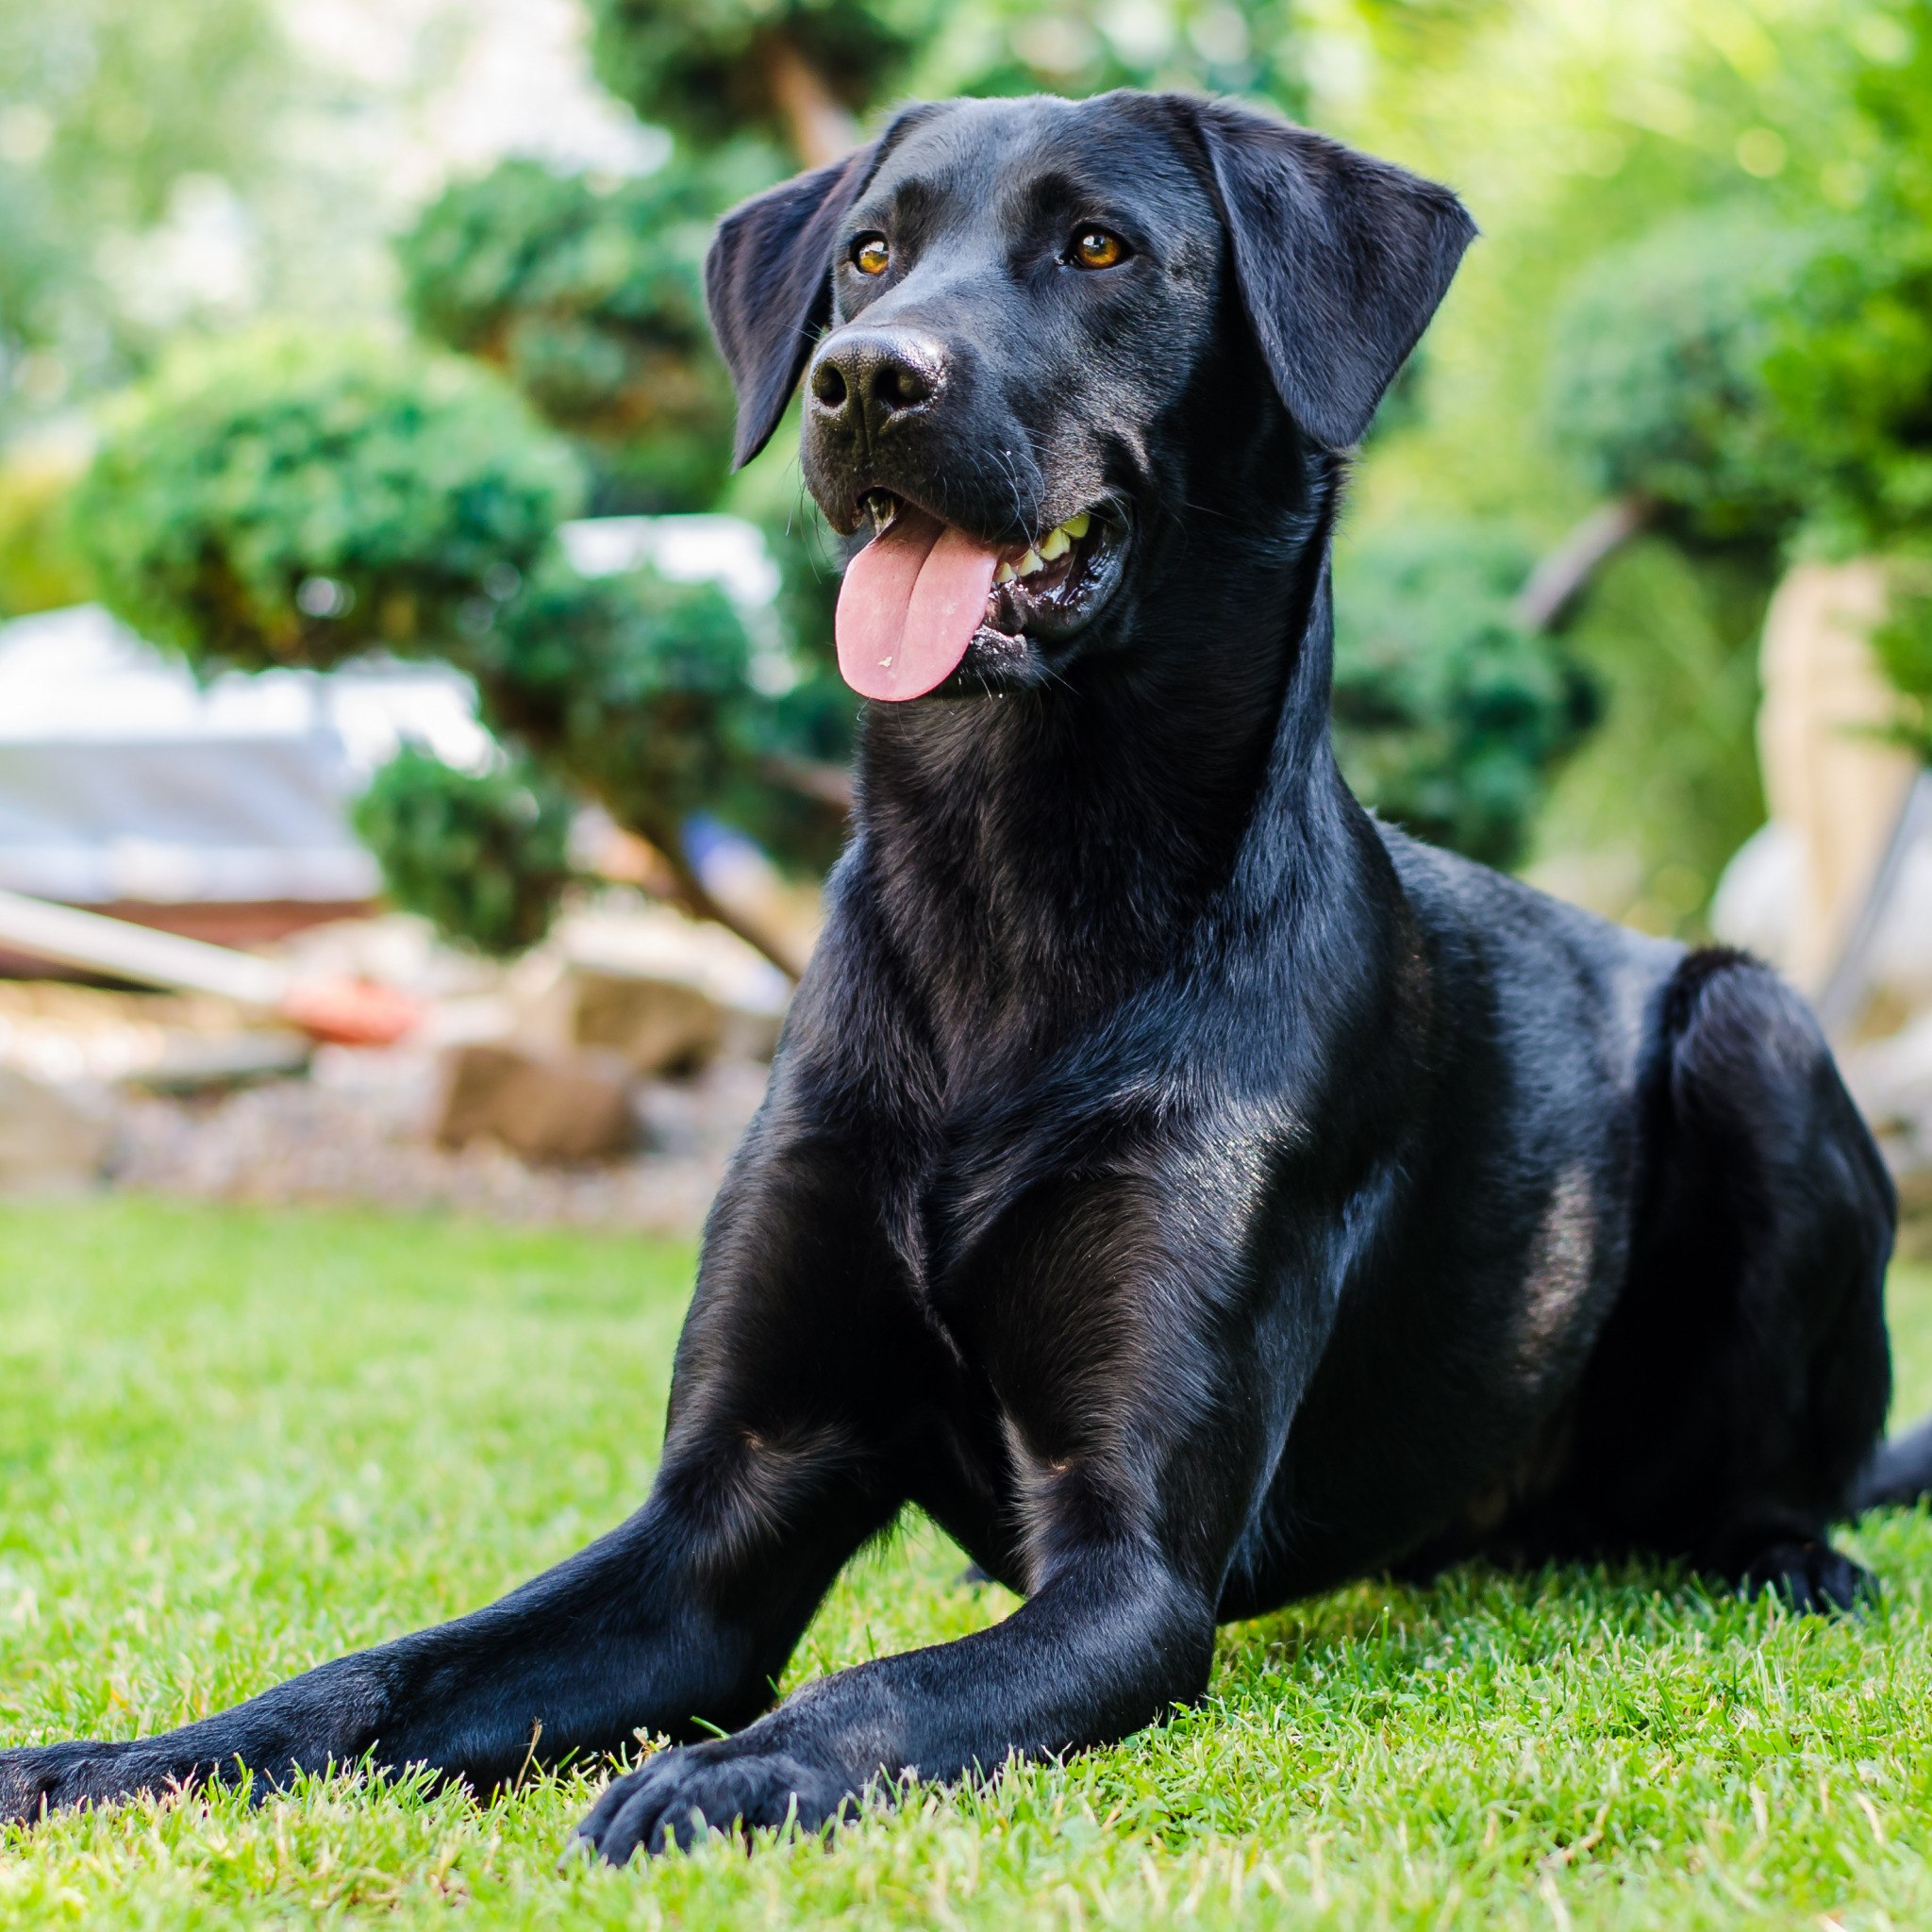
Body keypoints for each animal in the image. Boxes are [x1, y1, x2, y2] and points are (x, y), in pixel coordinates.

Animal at [4, 87, 1916, 1855]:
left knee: (1774, 1472)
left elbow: (889, 1688)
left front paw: (730, 1773)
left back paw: (1787, 1555)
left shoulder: (1129, 1568)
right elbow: (376, 1675)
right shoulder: (719, 1518)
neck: (1015, 893)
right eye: (868, 252)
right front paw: (121, 1761)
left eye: (1100, 248)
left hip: (1754, 1026)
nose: (863, 380)